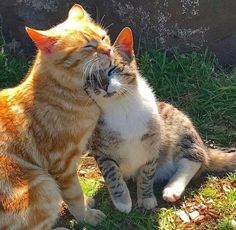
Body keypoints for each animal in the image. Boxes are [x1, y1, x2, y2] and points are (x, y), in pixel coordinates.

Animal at [0, 4, 112, 229]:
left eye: (104, 37)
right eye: (88, 47)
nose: (108, 50)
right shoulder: (63, 166)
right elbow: (75, 196)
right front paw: (88, 216)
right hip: (44, 186)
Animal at [85, 27, 236, 213]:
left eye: (112, 69)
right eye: (91, 78)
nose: (104, 85)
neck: (120, 107)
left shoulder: (152, 147)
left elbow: (147, 175)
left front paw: (146, 198)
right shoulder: (101, 152)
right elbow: (112, 175)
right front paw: (123, 201)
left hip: (181, 130)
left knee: (194, 159)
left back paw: (172, 188)